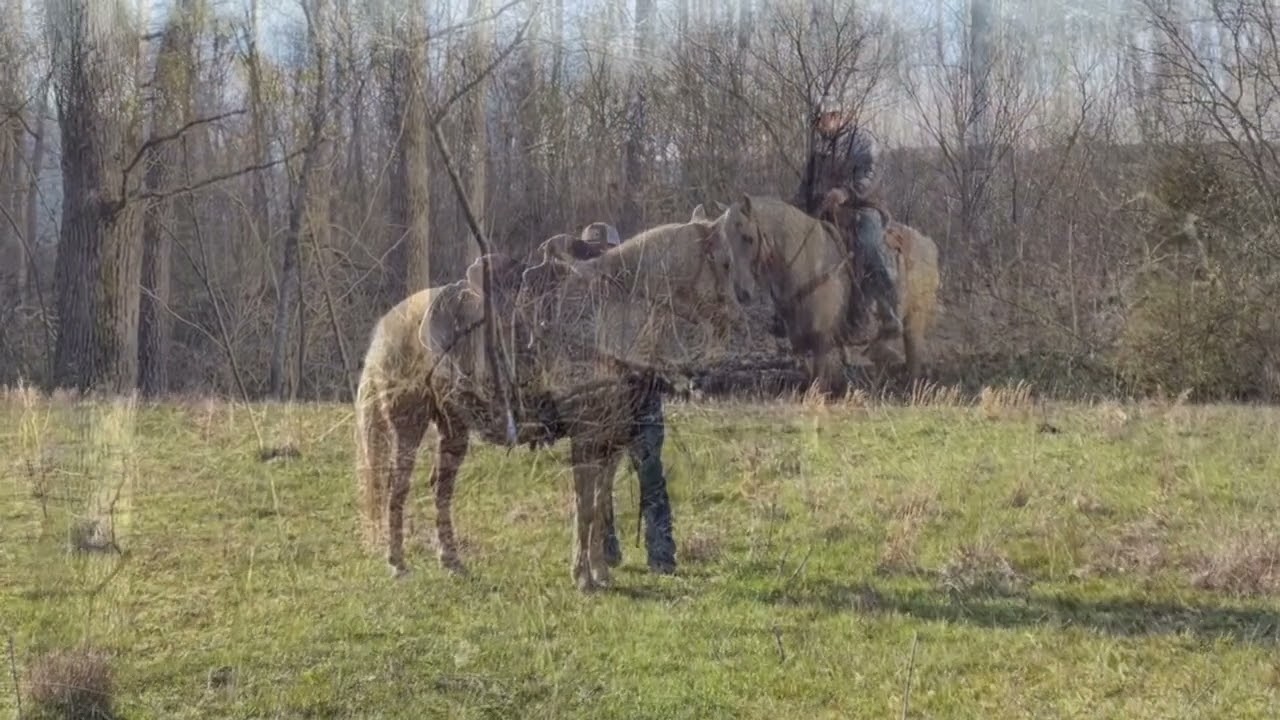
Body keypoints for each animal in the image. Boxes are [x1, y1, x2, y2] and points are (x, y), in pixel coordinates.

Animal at [355, 217, 748, 592]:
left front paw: (600, 572)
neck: (606, 316)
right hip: (409, 424)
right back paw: (398, 564)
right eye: (725, 262)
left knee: (441, 489)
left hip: (453, 429)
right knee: (397, 487)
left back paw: (452, 562)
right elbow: (586, 506)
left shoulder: (608, 439)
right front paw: (583, 577)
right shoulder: (587, 436)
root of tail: (387, 326)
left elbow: (598, 504)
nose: (738, 319)